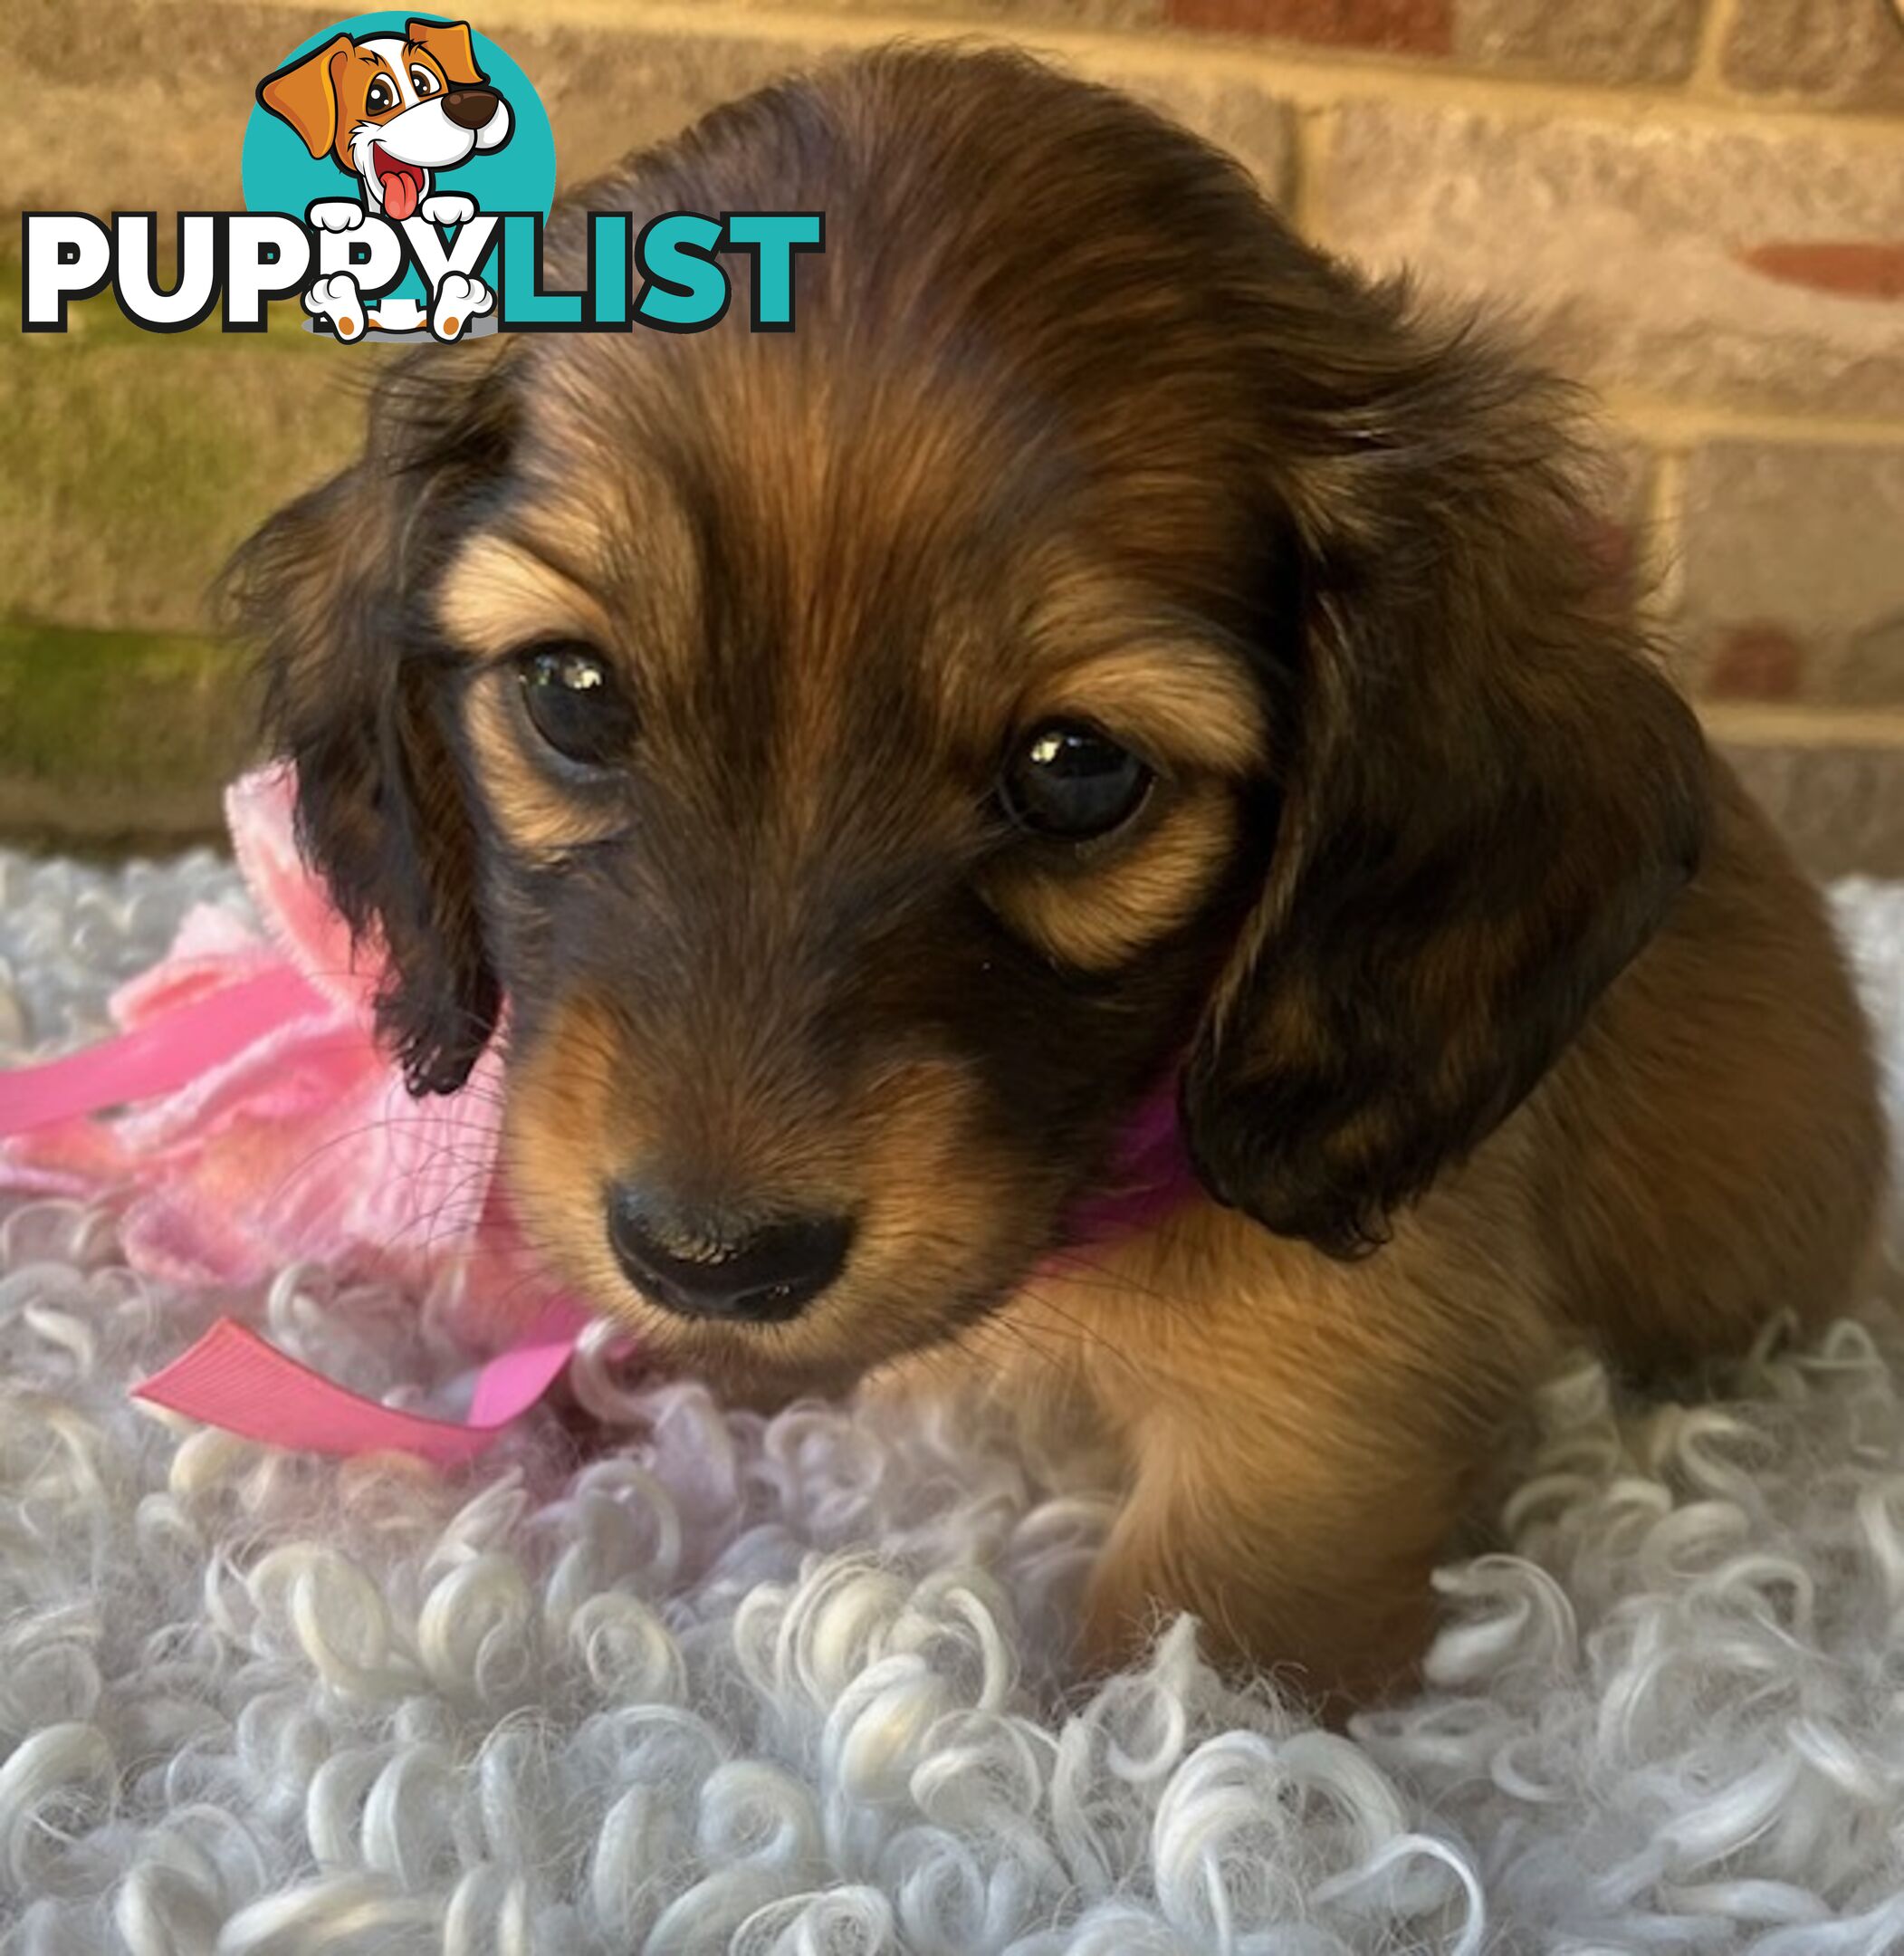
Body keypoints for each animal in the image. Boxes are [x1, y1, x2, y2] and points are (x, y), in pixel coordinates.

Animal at [227, 45, 1892, 1713]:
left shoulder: (1322, 1414)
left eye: (1076, 769)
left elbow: (1187, 1675)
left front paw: (1136, 1753)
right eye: (570, 693)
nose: (712, 1262)